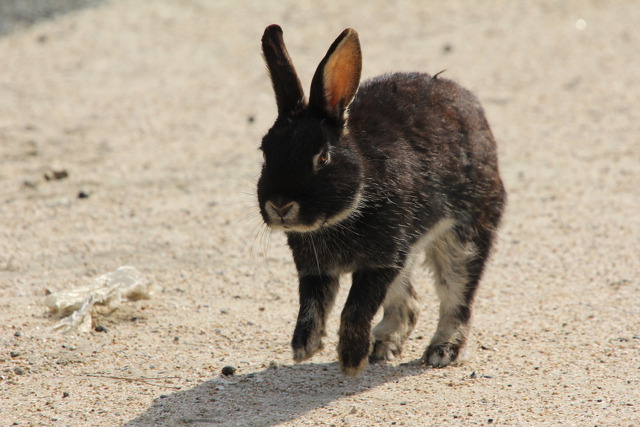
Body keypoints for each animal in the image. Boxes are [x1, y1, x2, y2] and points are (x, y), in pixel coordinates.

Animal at [256, 25, 504, 376]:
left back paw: (441, 351)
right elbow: (312, 305)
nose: (280, 205)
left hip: (465, 233)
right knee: (409, 302)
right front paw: (304, 348)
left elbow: (355, 309)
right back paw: (382, 347)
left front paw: (350, 360)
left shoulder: (383, 259)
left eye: (323, 157)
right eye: (265, 153)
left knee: (457, 296)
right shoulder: (316, 269)